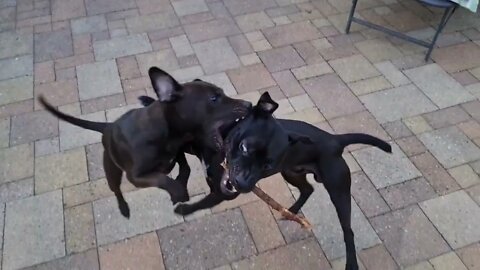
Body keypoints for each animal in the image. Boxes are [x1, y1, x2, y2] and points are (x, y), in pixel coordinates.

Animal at [39, 67, 249, 217]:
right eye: (214, 98)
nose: (248, 104)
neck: (168, 134)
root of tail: (107, 127)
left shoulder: (179, 152)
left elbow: (184, 169)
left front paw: (180, 187)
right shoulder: (136, 176)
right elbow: (163, 178)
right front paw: (179, 192)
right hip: (112, 171)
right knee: (116, 190)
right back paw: (124, 209)